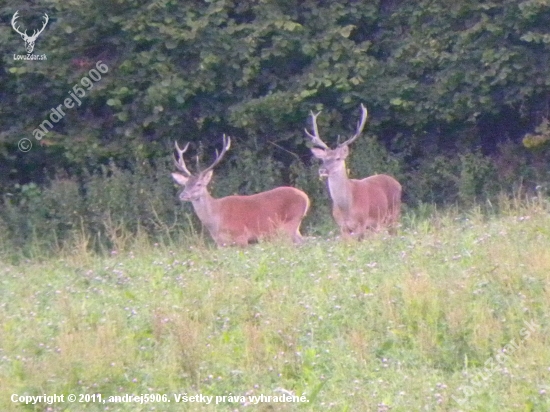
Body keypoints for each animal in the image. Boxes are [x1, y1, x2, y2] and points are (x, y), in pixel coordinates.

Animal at [172, 135, 310, 246]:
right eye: (185, 185)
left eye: (199, 184)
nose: (183, 195)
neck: (216, 220)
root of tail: (306, 198)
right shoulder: (221, 244)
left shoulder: (241, 236)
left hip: (290, 222)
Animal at [308, 104, 404, 238]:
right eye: (323, 159)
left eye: (338, 158)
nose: (322, 170)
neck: (347, 207)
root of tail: (397, 182)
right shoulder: (342, 227)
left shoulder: (362, 223)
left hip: (394, 213)